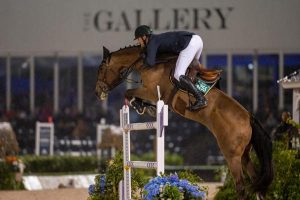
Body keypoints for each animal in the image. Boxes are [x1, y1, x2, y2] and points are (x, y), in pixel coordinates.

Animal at [95, 45, 274, 200]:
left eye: (101, 69)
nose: (97, 92)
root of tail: (249, 117)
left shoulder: (151, 91)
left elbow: (128, 92)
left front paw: (139, 105)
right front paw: (147, 107)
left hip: (232, 156)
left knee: (241, 187)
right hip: (244, 155)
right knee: (256, 181)